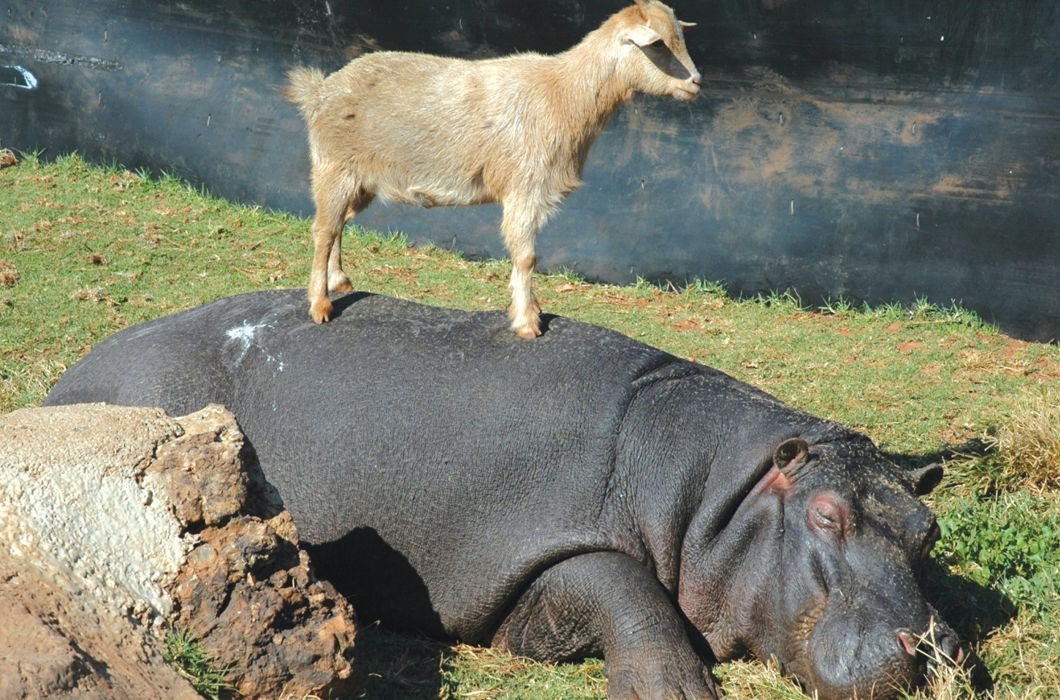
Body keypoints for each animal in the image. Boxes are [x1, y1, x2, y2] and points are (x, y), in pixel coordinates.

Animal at [45, 286, 966, 695]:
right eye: (826, 514)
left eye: (928, 529)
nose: (933, 649)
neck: (715, 497)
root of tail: (68, 379)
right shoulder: (544, 539)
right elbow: (626, 585)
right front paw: (674, 690)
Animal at [286, 0, 699, 339]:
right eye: (658, 44)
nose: (696, 83)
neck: (564, 95)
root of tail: (318, 91)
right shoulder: (525, 186)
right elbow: (526, 256)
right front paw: (528, 322)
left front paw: (529, 309)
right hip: (334, 168)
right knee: (323, 231)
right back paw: (320, 304)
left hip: (362, 182)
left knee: (337, 224)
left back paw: (339, 280)